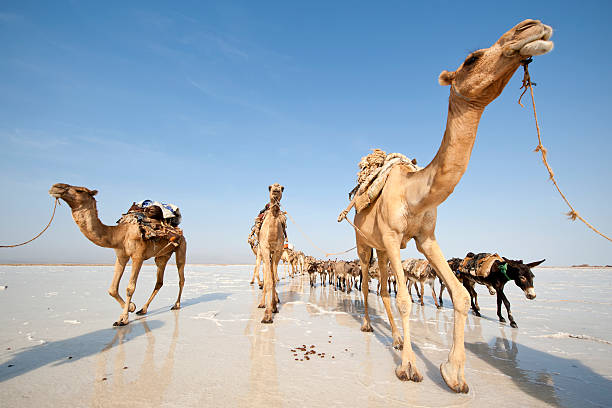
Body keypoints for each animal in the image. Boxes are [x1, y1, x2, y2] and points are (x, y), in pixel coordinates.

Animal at [49, 183, 186, 326]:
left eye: (79, 190)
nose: (56, 187)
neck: (121, 234)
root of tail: (178, 230)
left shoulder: (138, 256)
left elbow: (130, 288)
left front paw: (123, 319)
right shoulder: (121, 256)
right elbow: (112, 289)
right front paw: (131, 307)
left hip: (181, 248)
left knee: (181, 277)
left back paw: (176, 305)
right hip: (162, 256)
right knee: (159, 281)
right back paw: (143, 309)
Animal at [342, 19, 556, 392]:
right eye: (471, 59)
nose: (531, 28)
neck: (413, 193)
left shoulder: (425, 238)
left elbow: (458, 294)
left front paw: (453, 374)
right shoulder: (392, 237)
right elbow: (404, 299)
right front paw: (409, 368)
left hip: (382, 249)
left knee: (382, 288)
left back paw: (396, 339)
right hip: (364, 244)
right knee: (371, 285)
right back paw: (369, 326)